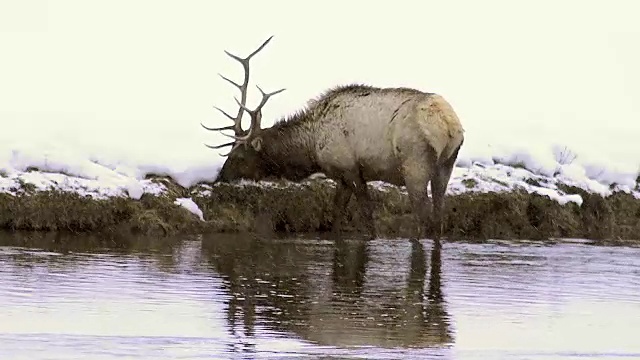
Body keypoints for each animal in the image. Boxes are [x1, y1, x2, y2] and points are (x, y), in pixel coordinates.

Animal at [204, 36, 464, 240]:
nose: (218, 178)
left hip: (414, 164)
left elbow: (366, 217)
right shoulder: (341, 176)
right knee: (438, 217)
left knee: (423, 218)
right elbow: (335, 215)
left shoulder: (349, 168)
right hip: (446, 164)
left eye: (239, 155)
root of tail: (448, 123)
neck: (311, 148)